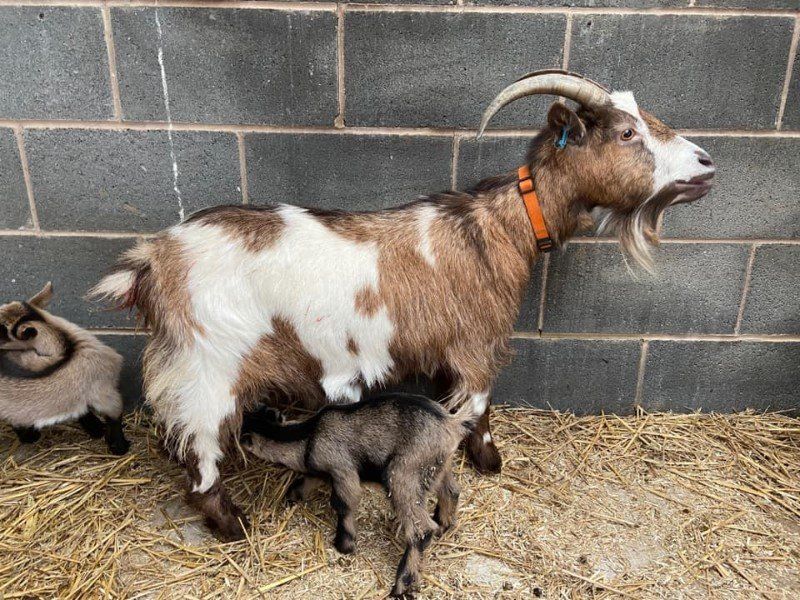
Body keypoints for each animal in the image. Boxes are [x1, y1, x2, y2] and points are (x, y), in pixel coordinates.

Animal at [90, 70, 716, 540]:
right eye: (627, 132)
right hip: (208, 367)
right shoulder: (476, 345)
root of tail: (151, 264)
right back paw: (232, 524)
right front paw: (488, 463)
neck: (496, 229)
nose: (707, 164)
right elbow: (480, 408)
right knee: (196, 450)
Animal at [241, 394, 484, 596]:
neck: (308, 437)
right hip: (439, 468)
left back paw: (402, 584)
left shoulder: (342, 469)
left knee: (420, 529)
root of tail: (451, 423)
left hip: (403, 475)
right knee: (451, 491)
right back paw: (443, 526)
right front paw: (292, 495)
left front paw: (345, 545)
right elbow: (308, 480)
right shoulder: (321, 472)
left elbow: (343, 503)